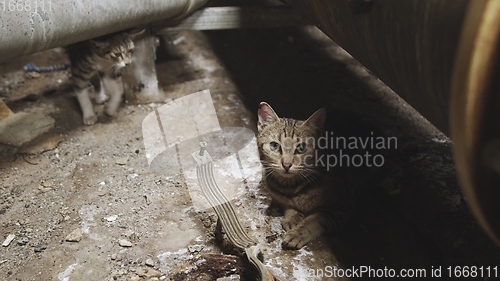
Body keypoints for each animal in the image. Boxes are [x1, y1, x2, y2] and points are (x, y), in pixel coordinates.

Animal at [258, 101, 352, 248]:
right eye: (274, 146)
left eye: (301, 148)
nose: (286, 164)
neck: (290, 187)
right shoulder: (280, 198)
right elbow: (289, 205)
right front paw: (293, 218)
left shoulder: (343, 207)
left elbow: (316, 218)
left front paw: (298, 233)